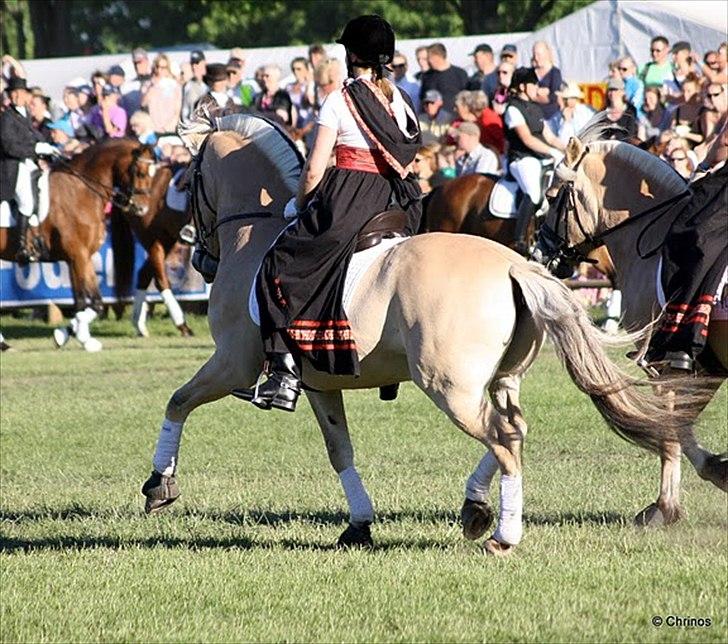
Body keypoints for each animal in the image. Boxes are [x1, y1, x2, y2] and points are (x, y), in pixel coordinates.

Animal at [0, 140, 156, 352]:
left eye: (152, 173)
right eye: (139, 173)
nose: (142, 209)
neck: (81, 191)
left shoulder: (81, 257)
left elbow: (88, 302)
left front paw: (74, 336)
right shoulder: (78, 256)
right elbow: (91, 303)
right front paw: (72, 335)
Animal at [139, 114, 692, 552]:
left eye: (189, 178)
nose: (198, 255)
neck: (258, 234)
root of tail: (517, 265)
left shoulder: (235, 362)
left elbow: (177, 401)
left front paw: (159, 484)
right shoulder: (318, 383)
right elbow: (339, 449)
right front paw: (358, 525)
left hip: (448, 386)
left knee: (502, 437)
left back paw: (502, 534)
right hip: (500, 380)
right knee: (513, 431)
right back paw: (476, 509)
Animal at [532, 127, 724, 528]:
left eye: (553, 197)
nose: (539, 252)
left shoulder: (664, 362)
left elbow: (671, 428)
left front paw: (665, 507)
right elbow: (679, 423)